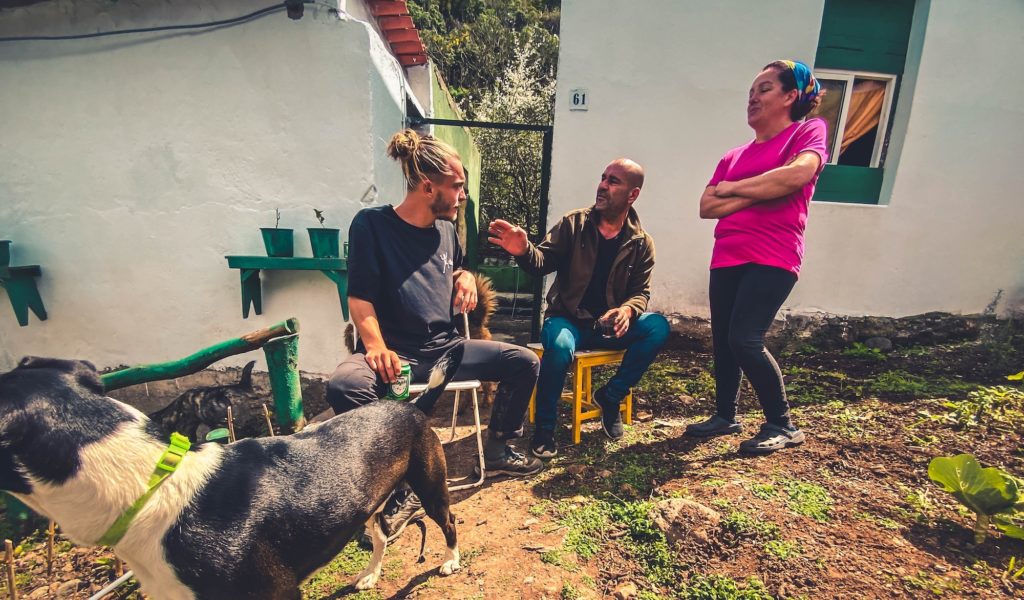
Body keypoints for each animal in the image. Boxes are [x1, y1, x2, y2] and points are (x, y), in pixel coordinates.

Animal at [0, 348, 460, 593]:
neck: (149, 484)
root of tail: (411, 405)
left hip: (430, 486)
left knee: (448, 521)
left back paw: (450, 562)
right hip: (368, 506)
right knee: (380, 538)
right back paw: (370, 574)